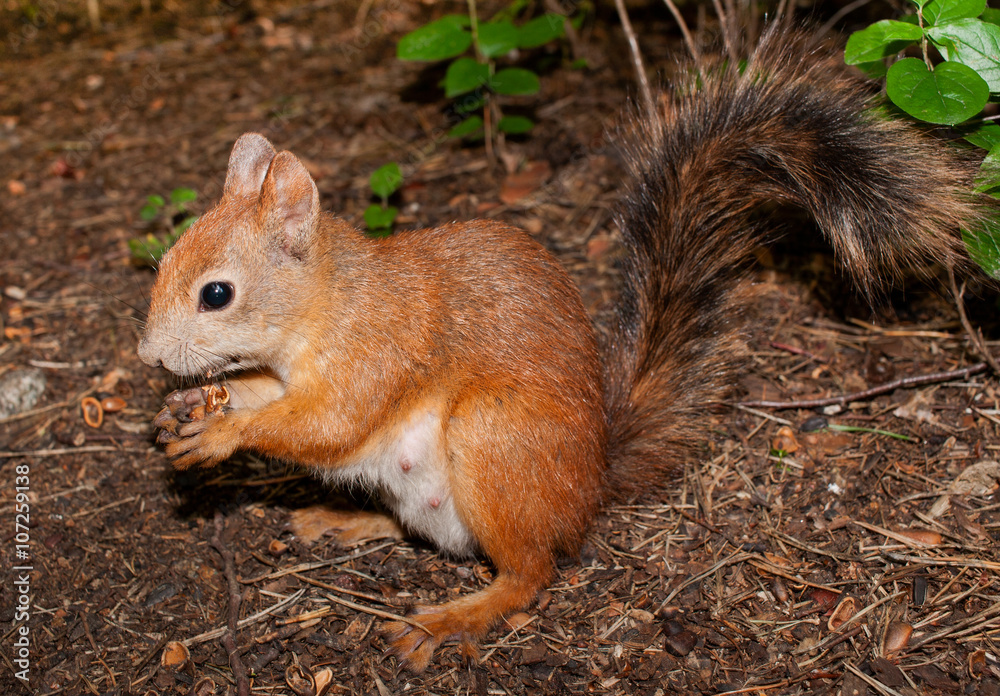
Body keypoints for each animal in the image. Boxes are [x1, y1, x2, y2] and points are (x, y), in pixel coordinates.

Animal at [137, 31, 988, 668]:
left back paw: (451, 617)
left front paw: (222, 433)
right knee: (426, 533)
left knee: (532, 572)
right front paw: (190, 407)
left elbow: (326, 421)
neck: (324, 306)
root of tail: (591, 487)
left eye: (217, 293)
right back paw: (340, 522)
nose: (148, 358)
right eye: (165, 259)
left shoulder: (381, 347)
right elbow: (270, 399)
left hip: (496, 441)